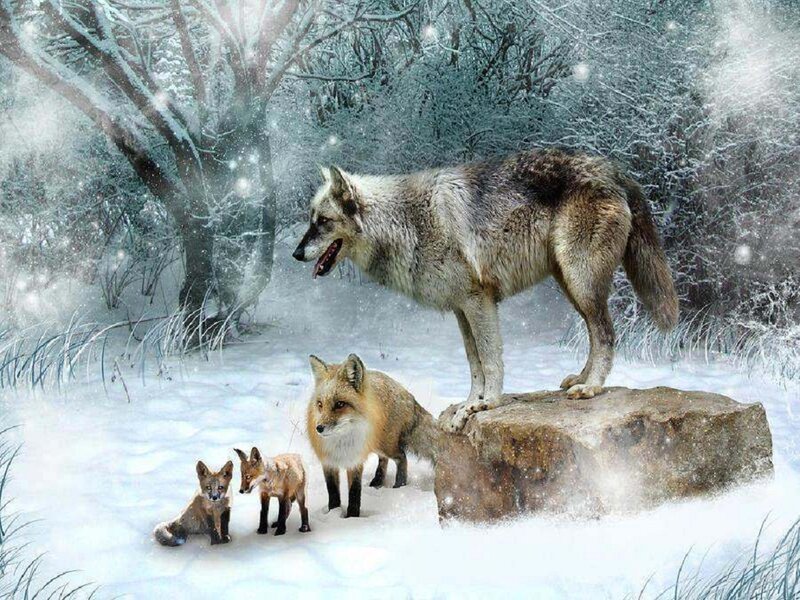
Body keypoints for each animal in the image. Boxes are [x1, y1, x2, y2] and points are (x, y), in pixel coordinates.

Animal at [292, 149, 679, 431]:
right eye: (311, 220)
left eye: (322, 222)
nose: (296, 253)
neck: (406, 222)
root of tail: (613, 168)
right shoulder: (461, 309)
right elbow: (474, 362)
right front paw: (469, 404)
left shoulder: (480, 302)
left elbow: (491, 361)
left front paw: (487, 403)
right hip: (571, 286)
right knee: (595, 335)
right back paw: (579, 379)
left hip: (581, 283)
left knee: (607, 335)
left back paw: (591, 387)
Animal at [306, 353, 439, 517]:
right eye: (320, 404)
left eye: (340, 404)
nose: (319, 428)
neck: (341, 442)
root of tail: (405, 391)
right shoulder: (328, 462)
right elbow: (333, 492)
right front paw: (333, 512)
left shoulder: (355, 459)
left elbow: (355, 491)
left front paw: (352, 516)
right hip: (376, 444)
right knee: (384, 460)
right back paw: (378, 481)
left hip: (385, 445)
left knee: (401, 457)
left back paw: (399, 485)